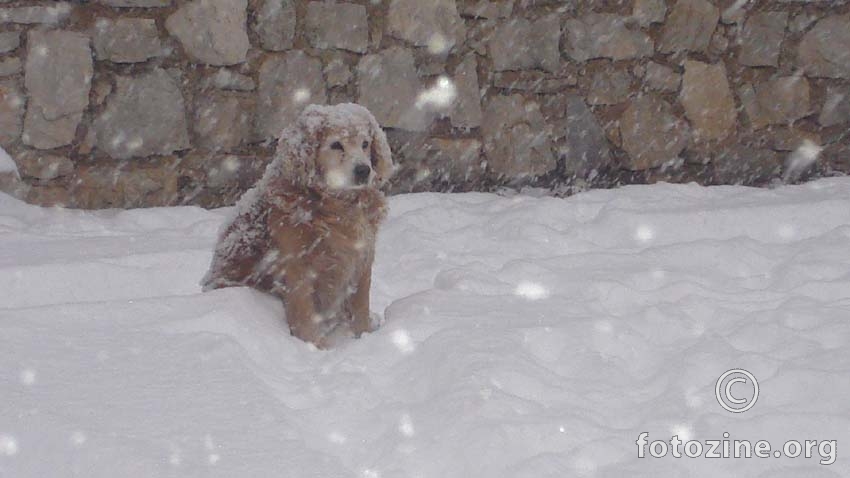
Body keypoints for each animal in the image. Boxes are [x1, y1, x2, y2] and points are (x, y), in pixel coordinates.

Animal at [202, 103, 394, 348]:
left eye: (365, 143)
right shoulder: (297, 270)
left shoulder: (362, 259)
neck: (335, 207)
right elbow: (304, 315)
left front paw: (364, 336)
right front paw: (316, 347)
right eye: (336, 145)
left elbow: (360, 306)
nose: (363, 170)